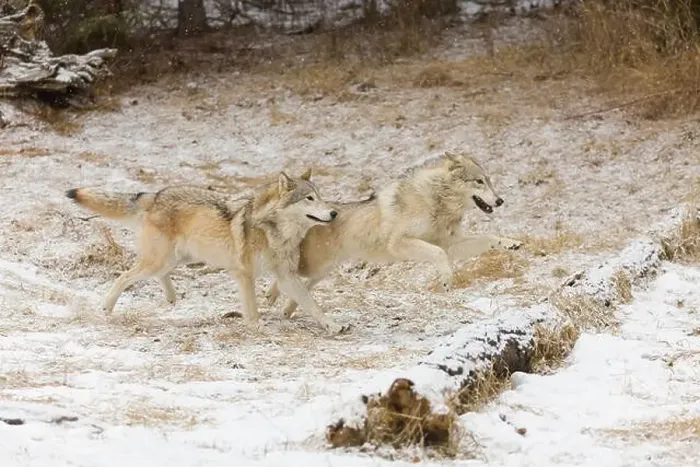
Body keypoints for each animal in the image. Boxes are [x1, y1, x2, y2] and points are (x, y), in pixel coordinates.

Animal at [66, 170, 349, 334]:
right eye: (309, 199)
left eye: (320, 196)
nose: (334, 213)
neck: (273, 230)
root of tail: (155, 195)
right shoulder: (245, 274)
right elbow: (253, 307)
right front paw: (256, 326)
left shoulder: (286, 277)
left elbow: (313, 305)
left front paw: (333, 326)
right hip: (160, 260)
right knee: (124, 277)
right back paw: (107, 308)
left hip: (177, 259)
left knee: (156, 276)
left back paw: (171, 298)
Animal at [266, 151, 522, 318]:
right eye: (479, 181)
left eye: (489, 181)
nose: (500, 201)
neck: (437, 201)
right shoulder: (400, 243)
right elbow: (439, 255)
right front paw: (446, 280)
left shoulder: (451, 243)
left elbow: (489, 238)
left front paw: (511, 243)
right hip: (313, 266)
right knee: (283, 276)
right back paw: (271, 297)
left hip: (322, 271)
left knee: (298, 286)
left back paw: (286, 311)